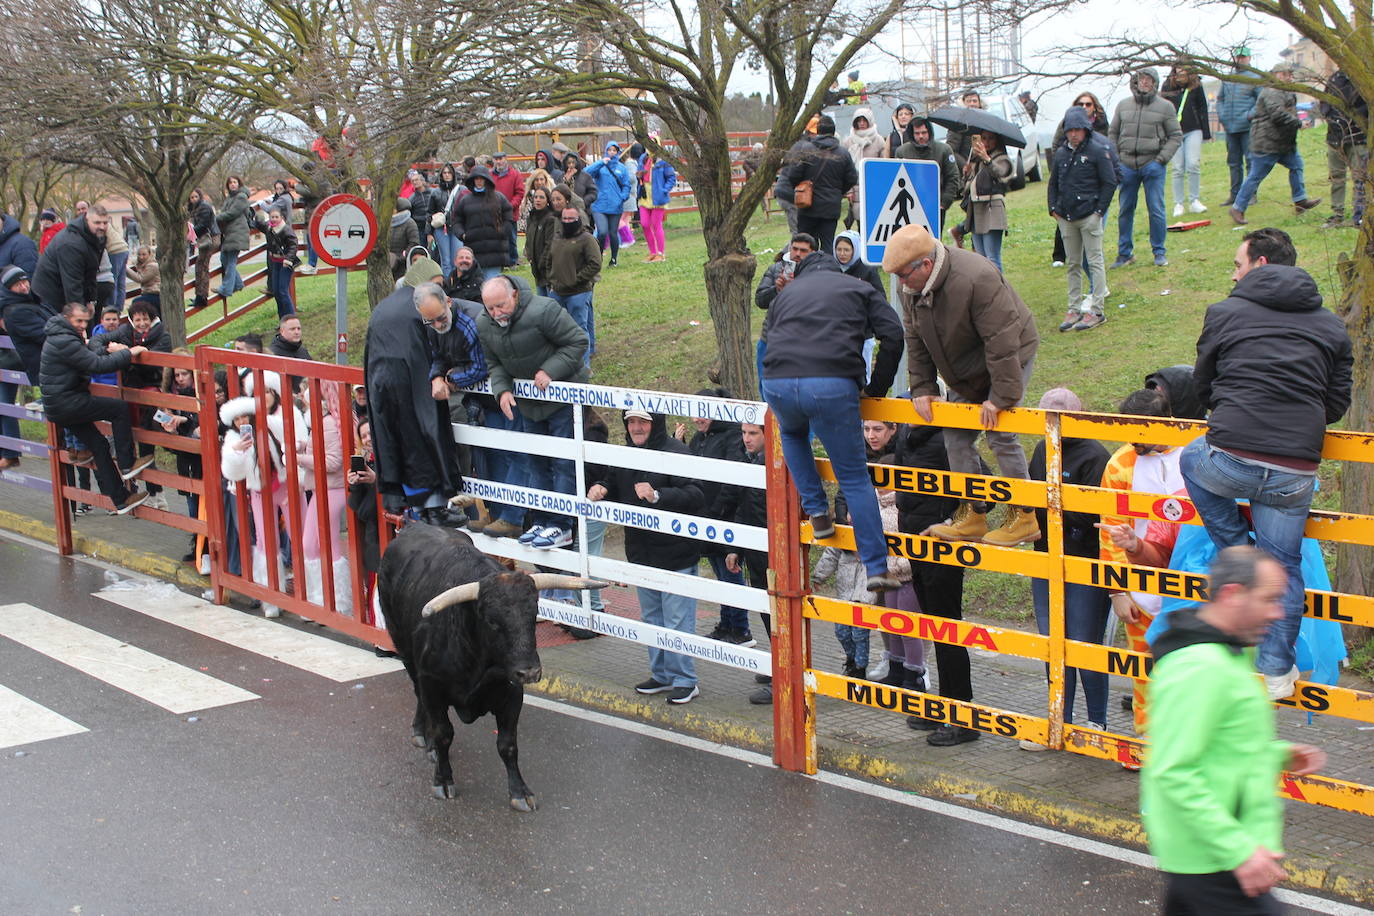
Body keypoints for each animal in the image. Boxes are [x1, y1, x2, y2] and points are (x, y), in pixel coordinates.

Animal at [379, 521, 610, 807]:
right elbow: (443, 734)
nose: (530, 671)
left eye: (533, 614)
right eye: (491, 621)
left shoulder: (511, 694)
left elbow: (508, 745)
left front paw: (519, 791)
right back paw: (422, 735)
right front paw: (442, 780)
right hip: (405, 653)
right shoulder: (432, 685)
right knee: (418, 697)